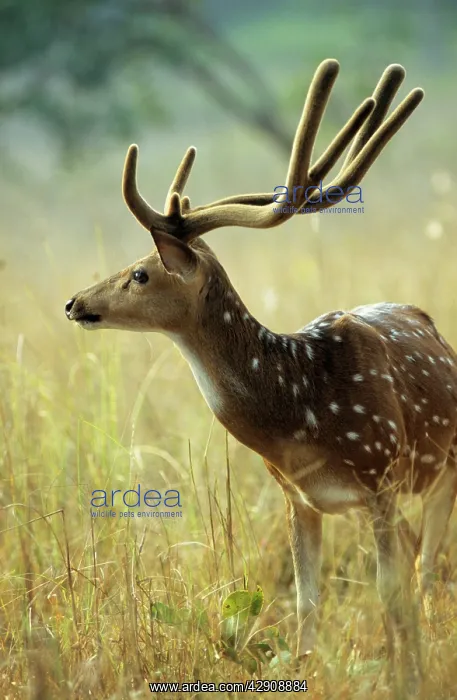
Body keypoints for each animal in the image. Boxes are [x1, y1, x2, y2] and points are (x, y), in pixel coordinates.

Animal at [65, 59, 457, 680]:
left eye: (141, 273)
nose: (75, 302)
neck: (305, 411)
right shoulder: (298, 496)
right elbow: (306, 603)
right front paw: (309, 672)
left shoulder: (380, 476)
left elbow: (388, 592)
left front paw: (406, 678)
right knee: (421, 555)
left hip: (441, 466)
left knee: (427, 570)